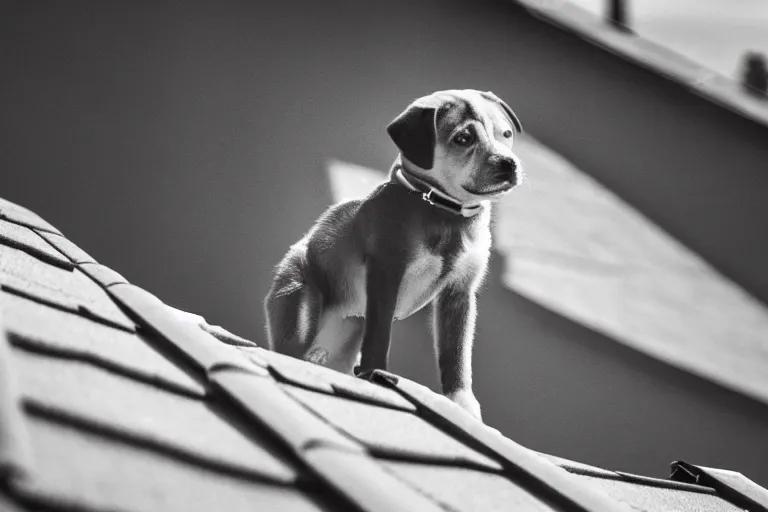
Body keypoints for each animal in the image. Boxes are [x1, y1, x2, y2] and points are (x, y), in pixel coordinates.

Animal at [264, 88, 520, 420]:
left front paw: (462, 403)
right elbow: (381, 334)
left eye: (506, 134)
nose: (509, 164)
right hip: (300, 301)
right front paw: (376, 373)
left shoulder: (459, 294)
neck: (441, 209)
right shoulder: (386, 276)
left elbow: (457, 354)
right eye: (463, 138)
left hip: (346, 336)